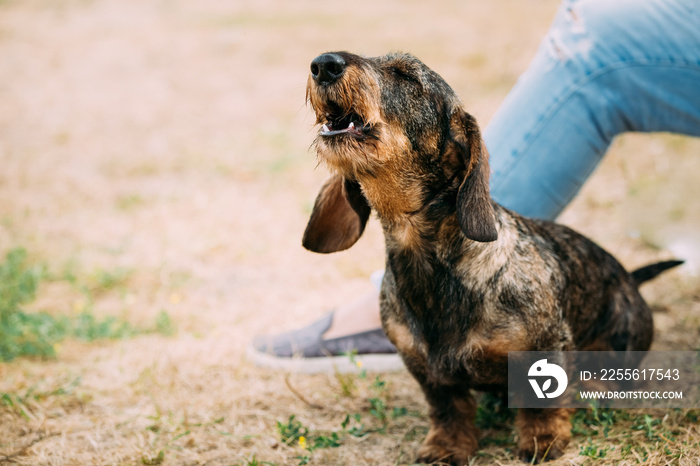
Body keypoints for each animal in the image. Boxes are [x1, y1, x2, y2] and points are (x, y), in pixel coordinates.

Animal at [300, 51, 680, 462]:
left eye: (407, 76)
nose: (324, 63)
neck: (431, 265)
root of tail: (630, 279)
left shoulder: (545, 343)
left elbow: (540, 399)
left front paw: (542, 438)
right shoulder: (424, 368)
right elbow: (448, 407)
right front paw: (447, 446)